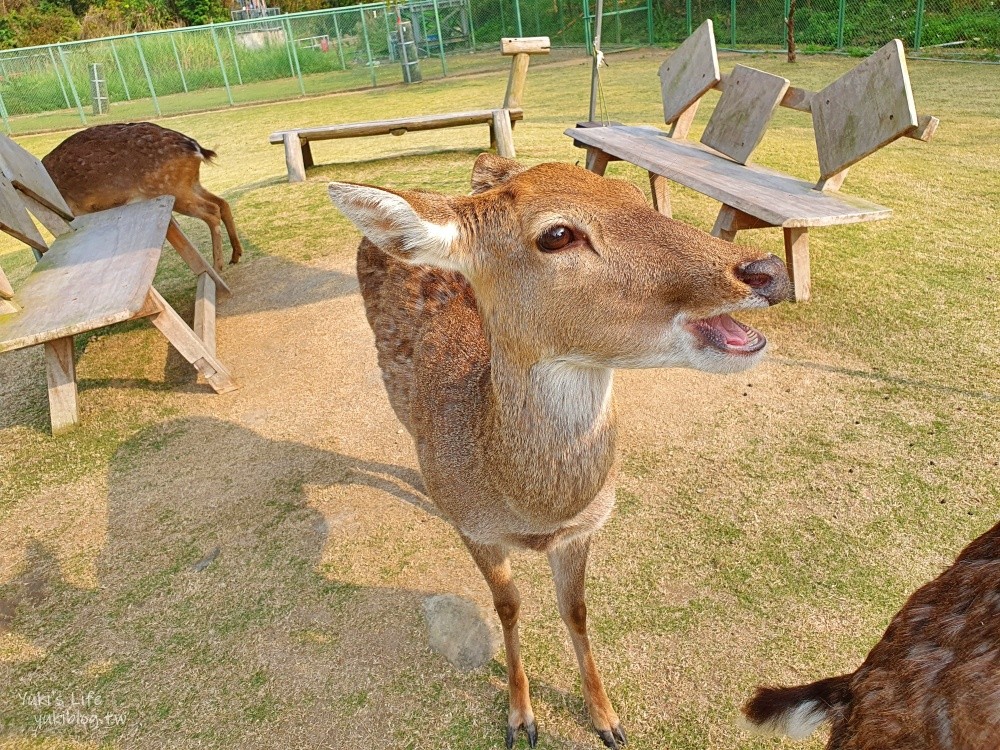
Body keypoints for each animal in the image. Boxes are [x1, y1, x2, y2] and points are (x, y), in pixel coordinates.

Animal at [42, 123, 246, 274]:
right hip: (190, 183)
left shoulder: (76, 210)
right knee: (222, 203)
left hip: (171, 188)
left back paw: (217, 266)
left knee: (212, 210)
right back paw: (235, 254)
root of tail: (196, 149)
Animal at [332, 156, 792, 748]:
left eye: (630, 191)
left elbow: (575, 609)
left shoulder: (585, 527)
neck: (529, 504)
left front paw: (607, 719)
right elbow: (507, 606)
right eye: (556, 234)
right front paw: (520, 718)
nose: (768, 270)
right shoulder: (477, 531)